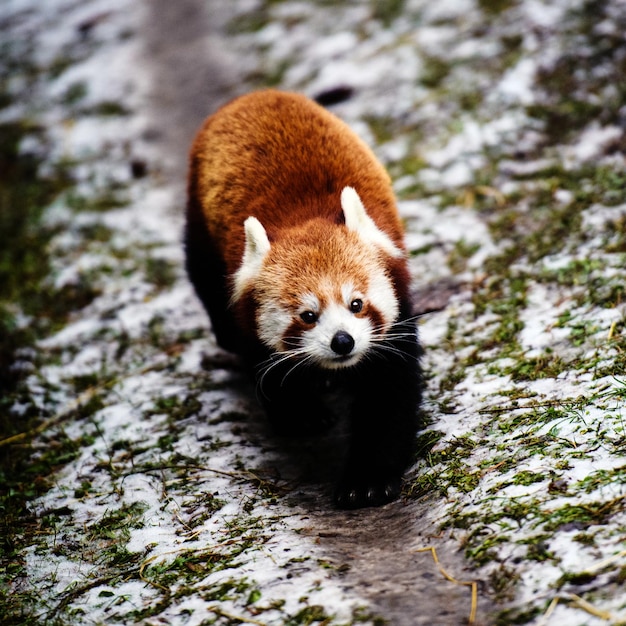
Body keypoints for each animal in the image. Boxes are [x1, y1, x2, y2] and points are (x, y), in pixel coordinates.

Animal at [183, 89, 422, 508]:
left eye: (356, 304)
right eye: (308, 315)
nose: (342, 342)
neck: (303, 219)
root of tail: (256, 93)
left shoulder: (396, 315)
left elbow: (389, 394)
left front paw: (368, 480)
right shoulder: (249, 318)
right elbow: (269, 372)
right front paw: (303, 416)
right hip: (199, 215)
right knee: (204, 277)